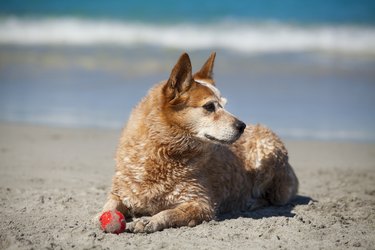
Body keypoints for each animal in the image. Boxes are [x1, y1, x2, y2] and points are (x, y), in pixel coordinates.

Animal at [98, 51, 298, 233]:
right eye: (209, 106)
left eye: (224, 105)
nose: (242, 126)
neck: (163, 151)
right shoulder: (121, 192)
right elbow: (110, 204)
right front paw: (101, 216)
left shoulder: (201, 204)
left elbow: (169, 213)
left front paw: (149, 221)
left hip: (267, 155)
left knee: (272, 197)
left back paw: (251, 202)